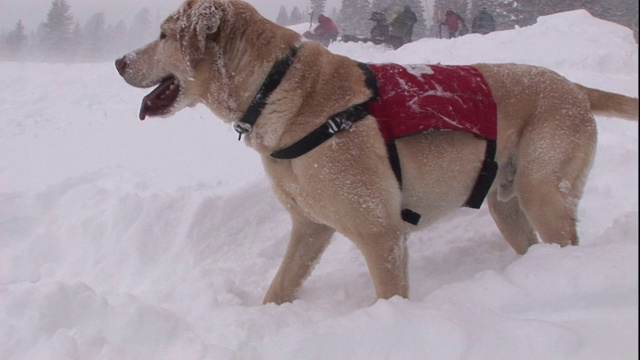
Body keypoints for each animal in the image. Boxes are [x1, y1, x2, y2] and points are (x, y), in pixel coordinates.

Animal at [116, 0, 640, 304]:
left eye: (163, 35)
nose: (119, 60)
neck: (280, 89)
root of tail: (574, 87)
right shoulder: (309, 229)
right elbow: (279, 289)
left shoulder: (381, 235)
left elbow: (390, 296)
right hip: (506, 203)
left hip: (540, 190)